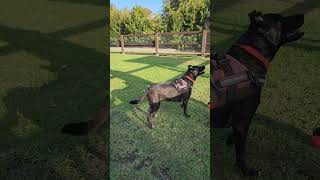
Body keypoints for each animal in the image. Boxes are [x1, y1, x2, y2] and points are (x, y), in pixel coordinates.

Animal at [211, 10, 304, 176]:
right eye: (281, 19)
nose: (303, 15)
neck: (251, 57)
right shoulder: (243, 120)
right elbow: (241, 151)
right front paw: (245, 170)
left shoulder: (240, 121)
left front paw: (230, 140)